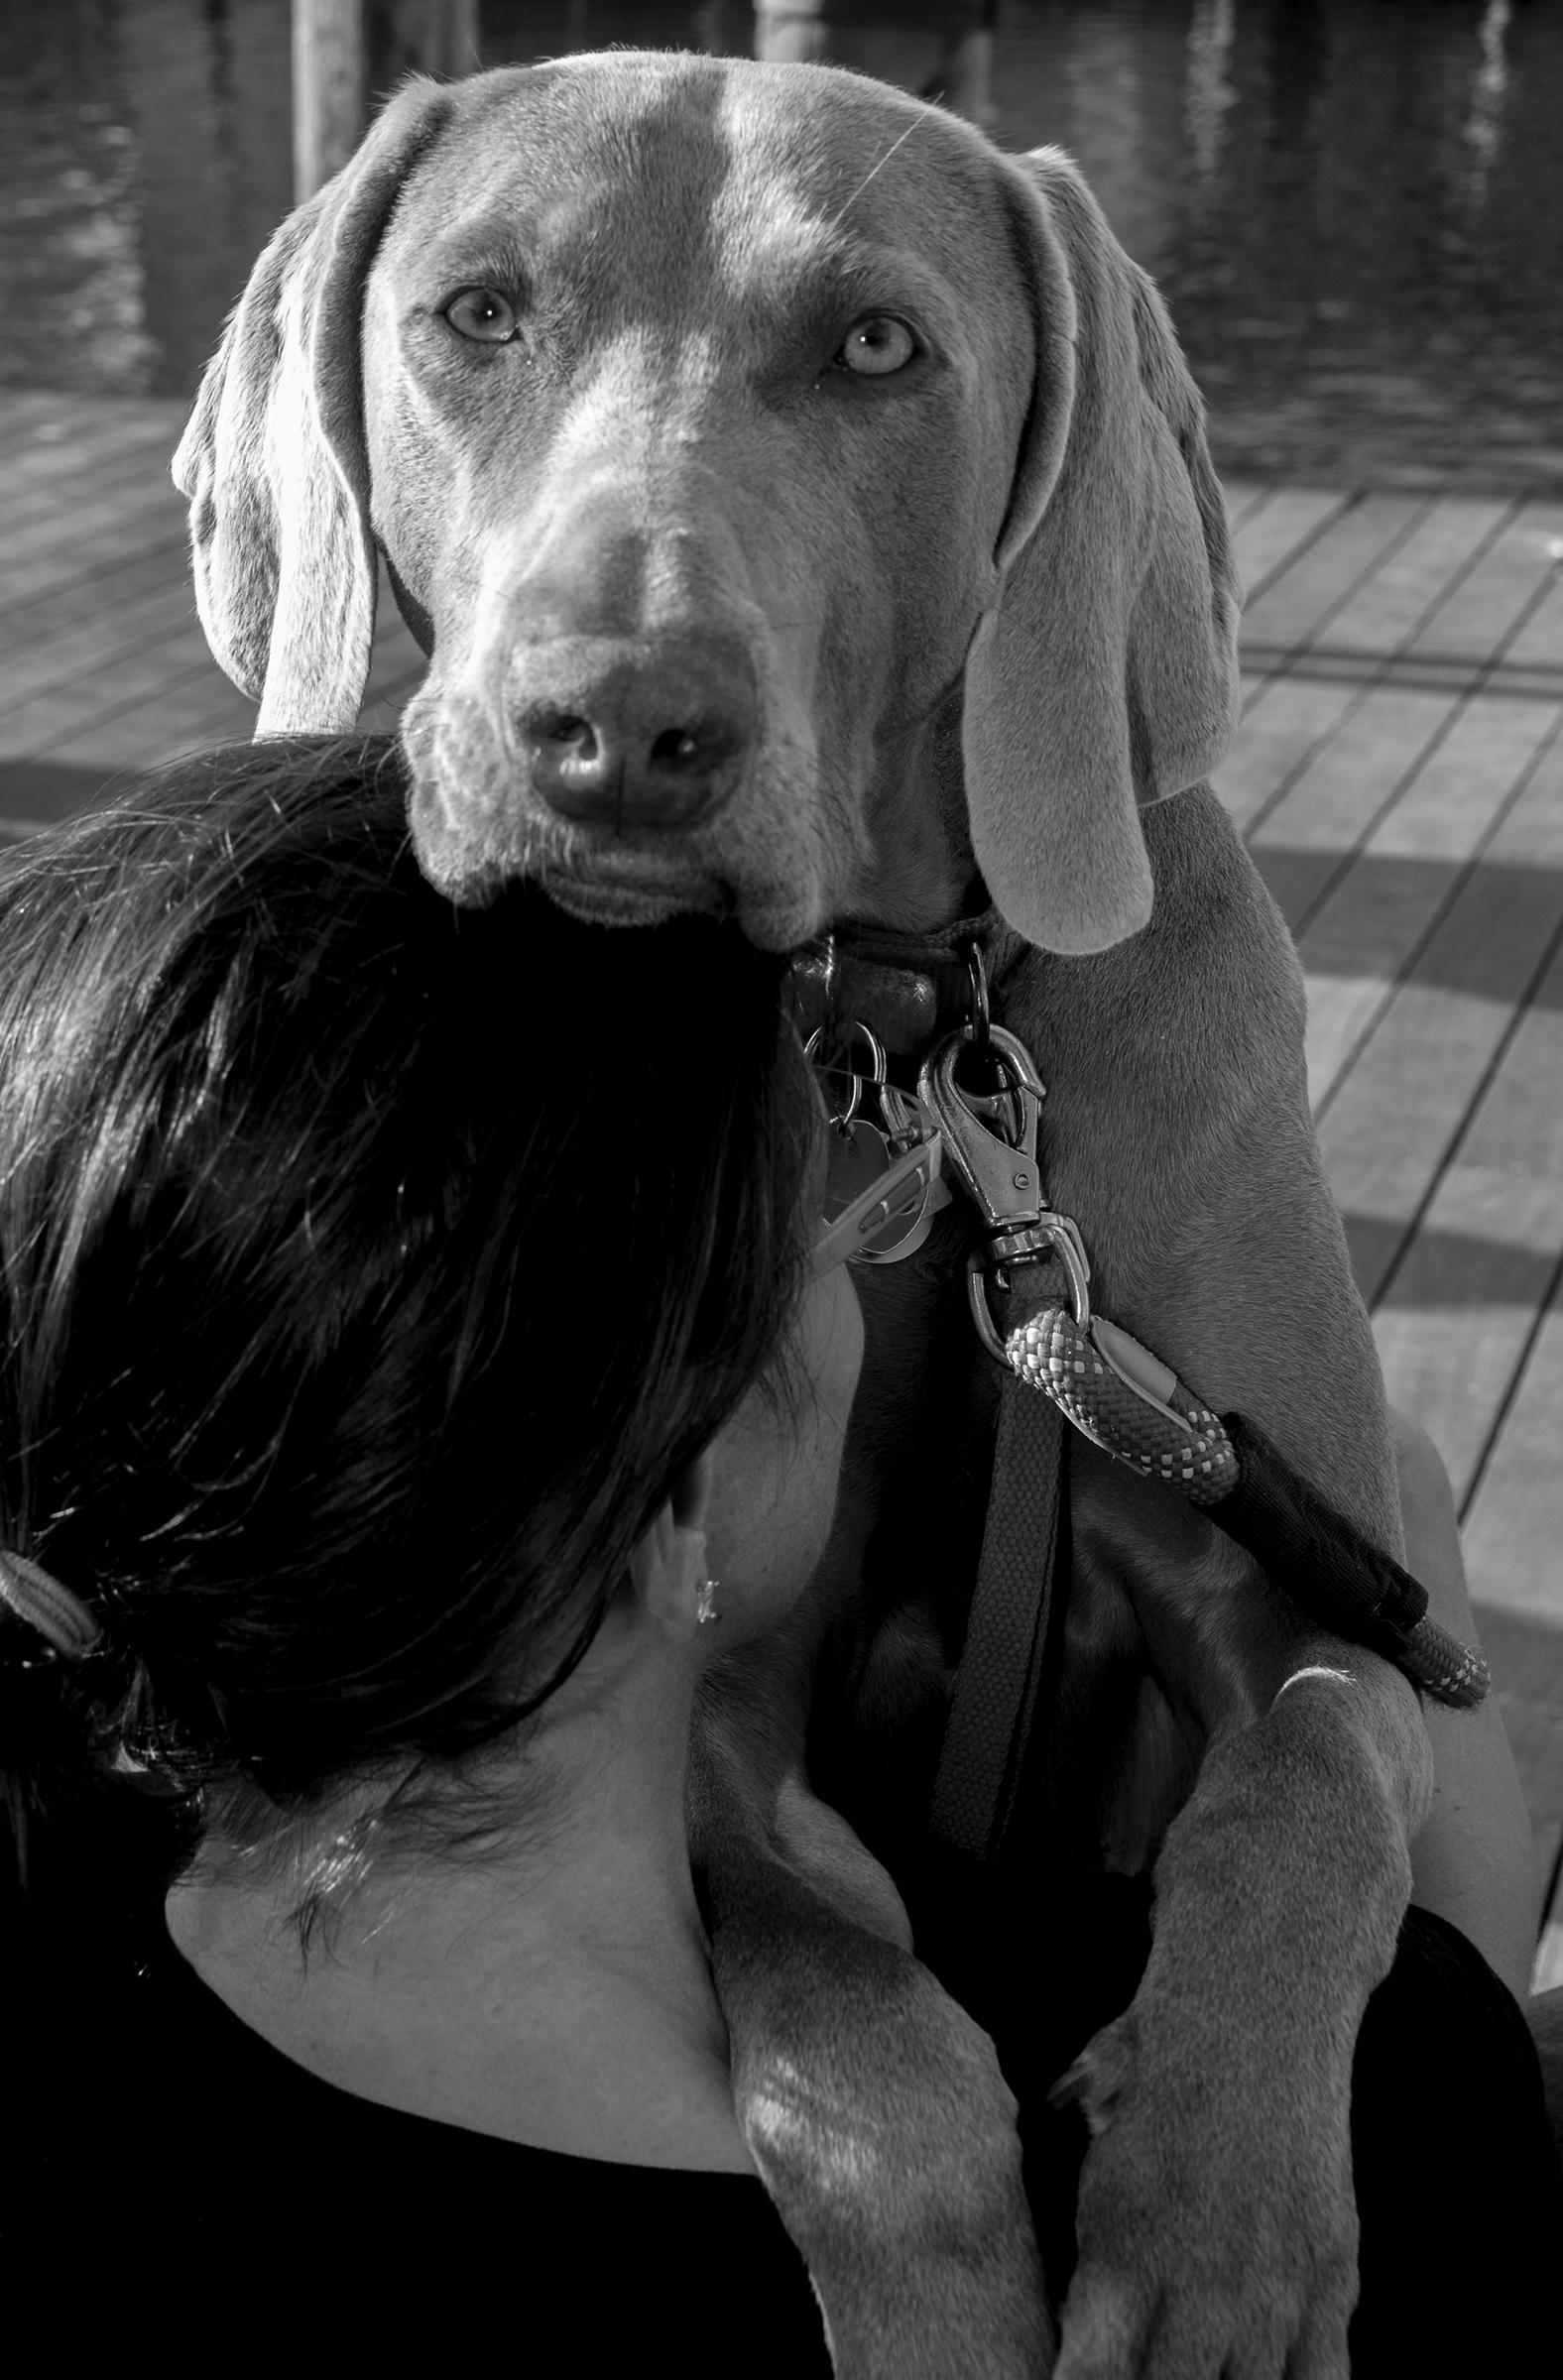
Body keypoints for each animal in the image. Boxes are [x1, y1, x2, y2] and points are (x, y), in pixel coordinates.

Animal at [174, 55, 1451, 2376]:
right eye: (474, 314)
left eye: (874, 347)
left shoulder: (1313, 1574)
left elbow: (1303, 1788)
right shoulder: (722, 1641)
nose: (614, 728)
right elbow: (824, 1972)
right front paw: (943, 2275)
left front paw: (1216, 2220)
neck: (908, 1054)